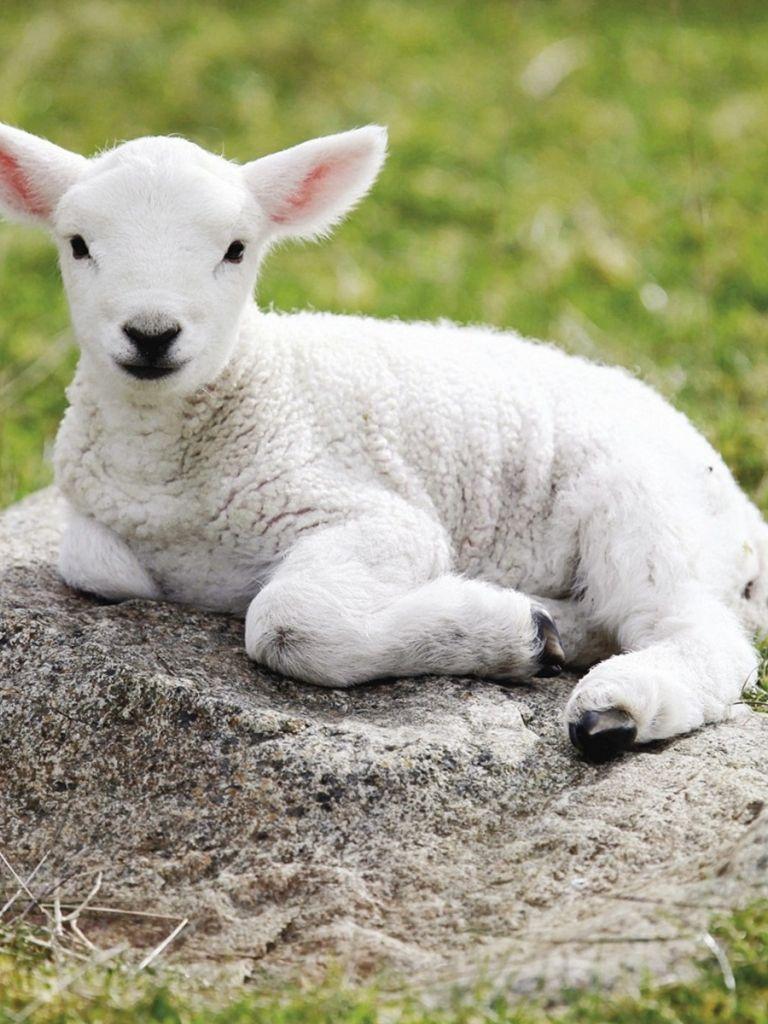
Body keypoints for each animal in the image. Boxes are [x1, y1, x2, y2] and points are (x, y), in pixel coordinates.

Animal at [1, 121, 766, 762]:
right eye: (78, 244)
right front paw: (516, 628)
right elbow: (96, 564)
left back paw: (615, 710)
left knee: (695, 628)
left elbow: (286, 621)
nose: (152, 333)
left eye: (236, 249)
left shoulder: (372, 514)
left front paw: (500, 631)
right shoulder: (99, 533)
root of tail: (742, 514)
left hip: (647, 505)